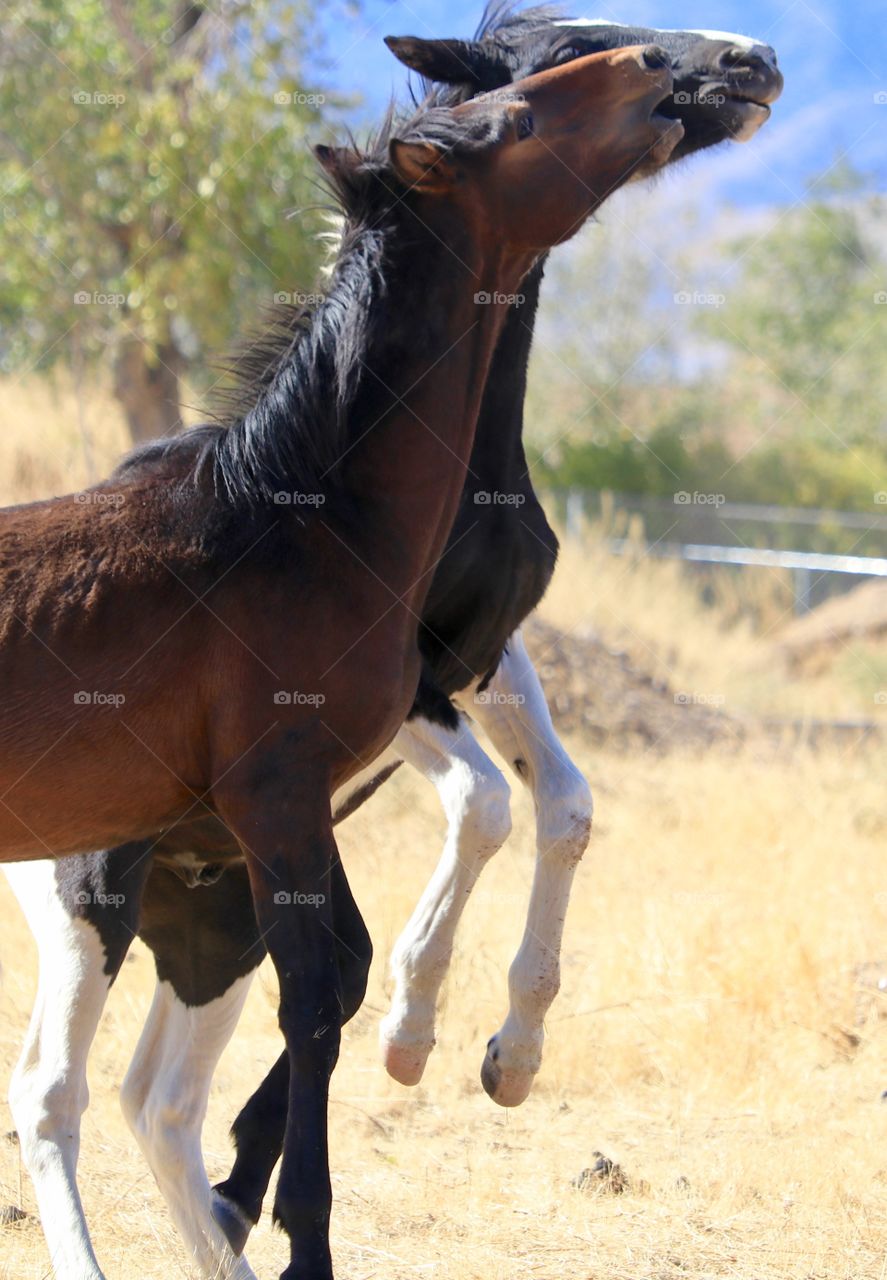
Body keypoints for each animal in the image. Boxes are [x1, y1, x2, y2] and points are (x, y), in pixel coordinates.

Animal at [1, 12, 783, 1280]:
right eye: (546, 66)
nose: (733, 64)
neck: (300, 506)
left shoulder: (476, 664)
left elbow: (558, 805)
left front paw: (508, 1048)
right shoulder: (354, 734)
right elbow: (466, 828)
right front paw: (411, 1043)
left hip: (208, 924)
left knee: (154, 1099)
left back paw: (227, 1203)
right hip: (92, 896)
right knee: (52, 1091)